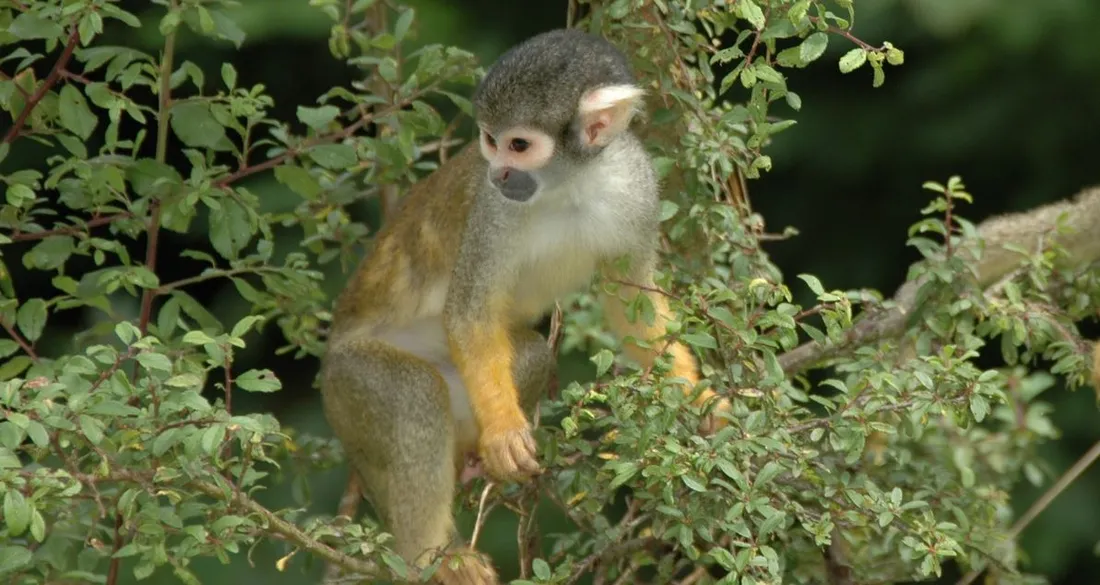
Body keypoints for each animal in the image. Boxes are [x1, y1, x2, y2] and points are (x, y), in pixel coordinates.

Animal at [318, 28, 731, 584]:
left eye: (519, 145)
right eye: (489, 141)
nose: (497, 173)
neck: (571, 183)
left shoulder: (638, 185)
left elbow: (633, 304)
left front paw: (695, 397)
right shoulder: (493, 212)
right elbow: (470, 313)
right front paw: (504, 433)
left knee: (534, 355)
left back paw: (469, 465)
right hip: (348, 383)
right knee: (413, 393)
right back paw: (433, 556)